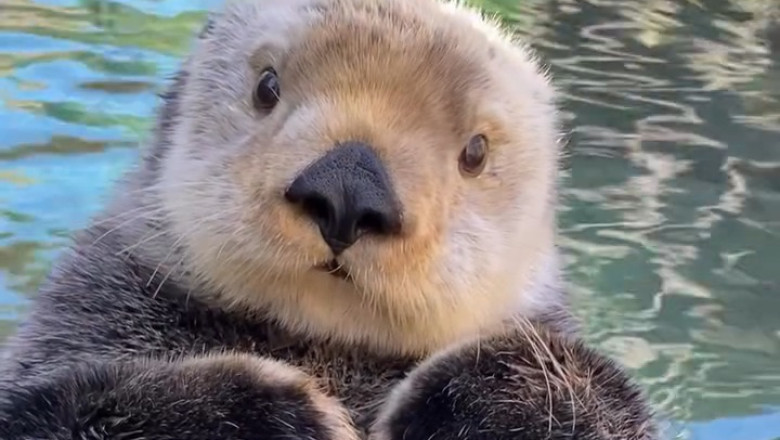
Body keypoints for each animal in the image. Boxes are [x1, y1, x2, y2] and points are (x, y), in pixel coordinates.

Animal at [0, 0, 657, 439]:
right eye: (267, 87)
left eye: (475, 152)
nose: (346, 191)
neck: (319, 347)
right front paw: (272, 413)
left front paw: (474, 400)